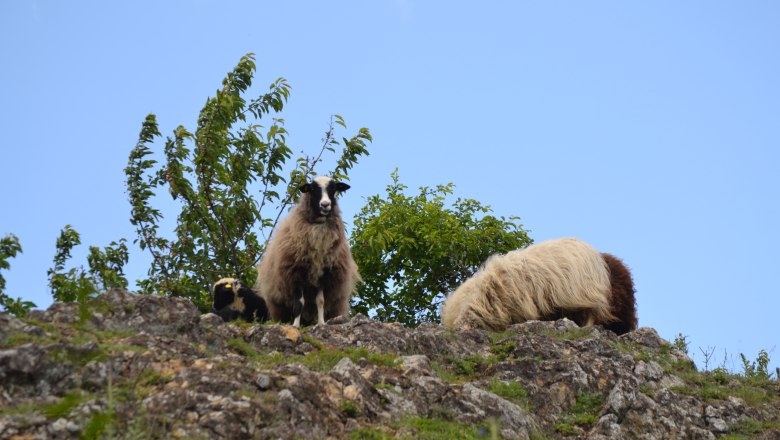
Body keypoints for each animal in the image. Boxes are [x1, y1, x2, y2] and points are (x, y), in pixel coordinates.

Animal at [258, 176, 362, 326]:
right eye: (312, 189)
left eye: (333, 188)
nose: (325, 204)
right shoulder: (296, 273)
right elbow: (299, 302)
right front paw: (295, 325)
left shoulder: (324, 275)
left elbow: (320, 301)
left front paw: (321, 323)